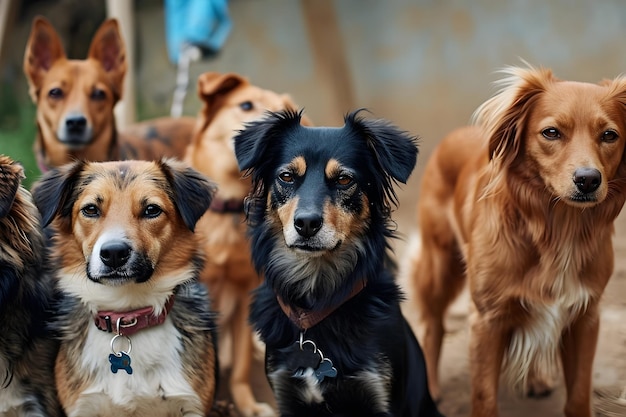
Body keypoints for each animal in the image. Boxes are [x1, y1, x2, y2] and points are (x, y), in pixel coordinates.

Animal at [404, 62, 626, 416]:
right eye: (551, 132)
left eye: (609, 135)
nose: (589, 180)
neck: (556, 228)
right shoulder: (486, 320)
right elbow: (484, 397)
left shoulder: (584, 316)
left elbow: (579, 394)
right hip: (439, 263)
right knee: (433, 325)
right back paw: (431, 387)